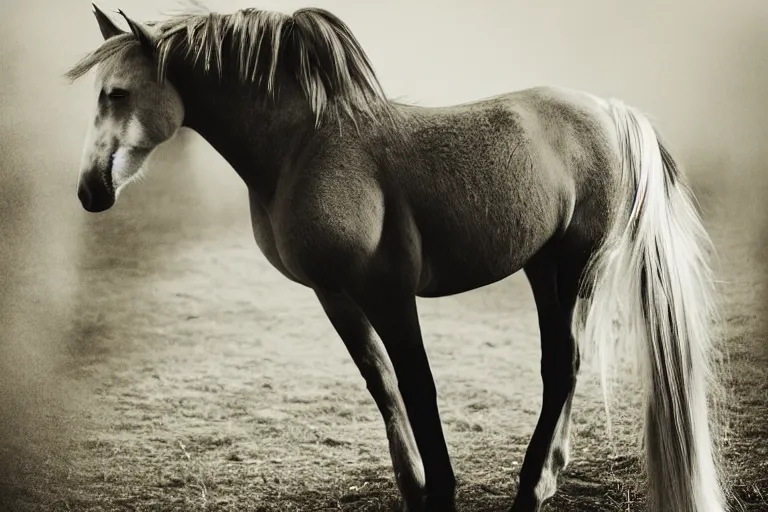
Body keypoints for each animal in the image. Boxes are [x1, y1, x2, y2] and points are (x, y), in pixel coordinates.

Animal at [66, 5, 728, 512]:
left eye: (118, 93)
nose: (89, 190)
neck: (304, 150)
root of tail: (609, 110)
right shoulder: (333, 293)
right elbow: (381, 382)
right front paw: (414, 487)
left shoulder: (388, 291)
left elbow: (419, 385)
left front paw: (440, 491)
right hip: (543, 267)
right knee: (560, 365)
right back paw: (544, 479)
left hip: (573, 266)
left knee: (561, 366)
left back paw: (531, 488)